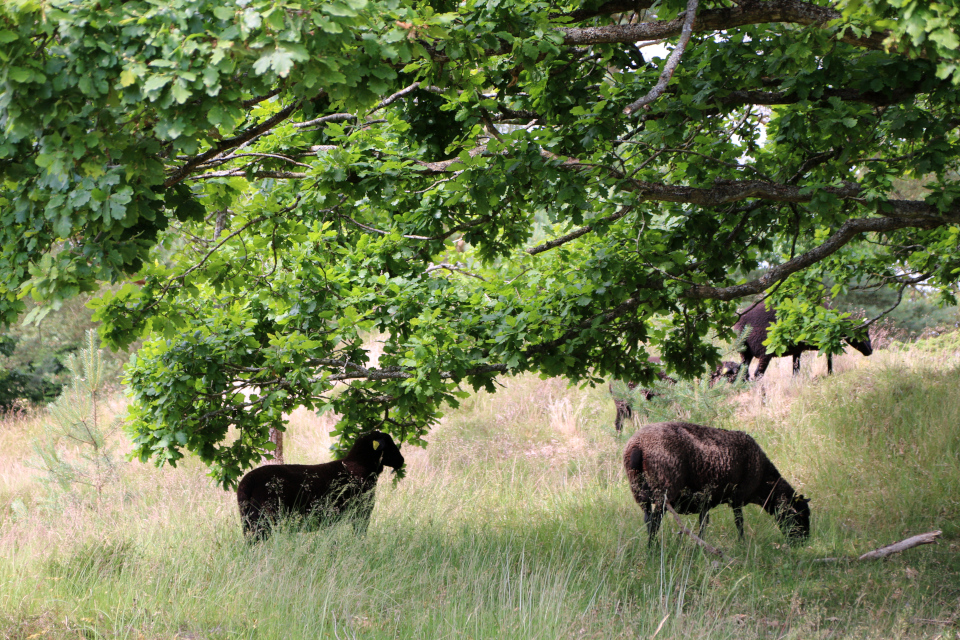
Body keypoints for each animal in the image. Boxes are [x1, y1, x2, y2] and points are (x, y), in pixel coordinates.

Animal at [242, 430, 406, 540]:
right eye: (390, 444)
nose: (401, 460)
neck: (360, 465)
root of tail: (247, 482)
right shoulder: (361, 513)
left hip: (249, 522)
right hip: (263, 521)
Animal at [624, 420, 808, 544]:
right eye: (799, 514)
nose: (803, 542)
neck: (763, 481)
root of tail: (638, 446)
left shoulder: (706, 500)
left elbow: (703, 523)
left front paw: (700, 545)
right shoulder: (737, 496)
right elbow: (739, 522)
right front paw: (742, 543)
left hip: (639, 490)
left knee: (648, 520)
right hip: (664, 487)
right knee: (655, 522)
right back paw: (652, 549)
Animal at [736, 302, 872, 380]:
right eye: (863, 332)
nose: (870, 351)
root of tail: (741, 324)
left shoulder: (798, 349)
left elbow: (796, 368)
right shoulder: (822, 342)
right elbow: (829, 357)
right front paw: (830, 373)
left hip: (745, 353)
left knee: (743, 373)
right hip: (765, 352)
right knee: (757, 375)